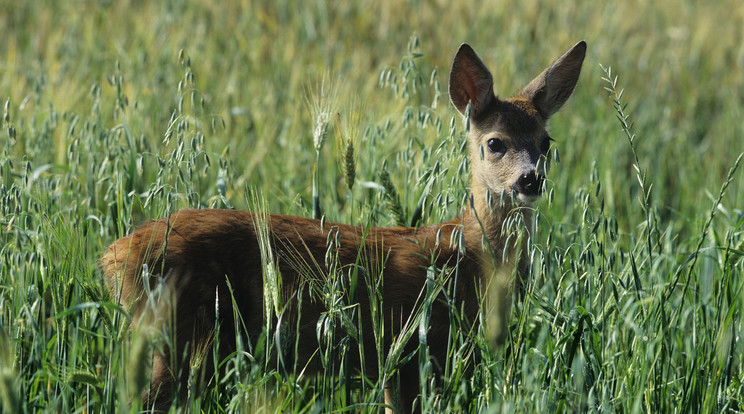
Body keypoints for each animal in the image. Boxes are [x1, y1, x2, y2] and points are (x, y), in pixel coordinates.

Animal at [99, 39, 588, 414]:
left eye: (546, 142)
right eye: (495, 142)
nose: (530, 180)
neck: (467, 255)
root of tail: (115, 255)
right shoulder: (411, 351)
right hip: (184, 336)